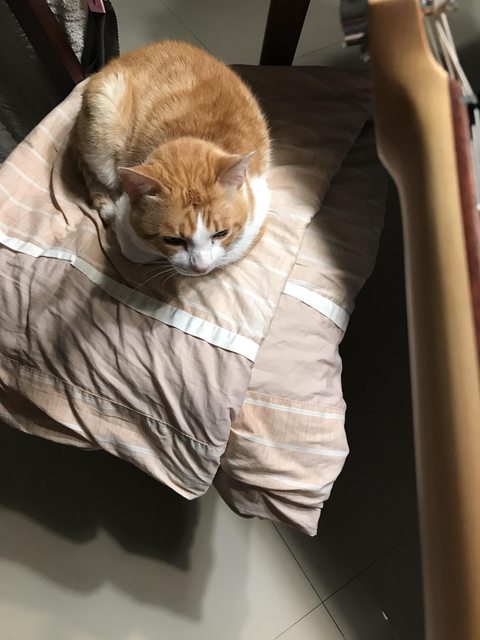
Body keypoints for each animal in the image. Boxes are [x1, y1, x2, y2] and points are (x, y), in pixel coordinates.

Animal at [70, 40, 271, 276]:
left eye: (221, 233)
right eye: (173, 240)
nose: (201, 268)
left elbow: (230, 253)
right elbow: (134, 248)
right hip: (101, 136)